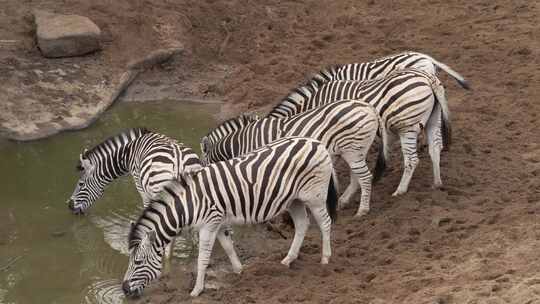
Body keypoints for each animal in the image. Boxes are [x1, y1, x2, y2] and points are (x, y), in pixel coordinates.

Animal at [122, 137, 338, 296]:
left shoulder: (208, 225)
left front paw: (196, 290)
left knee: (325, 222)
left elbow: (202, 258)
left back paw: (326, 258)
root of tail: (315, 142)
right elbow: (228, 247)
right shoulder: (218, 224)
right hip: (294, 200)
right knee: (302, 224)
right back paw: (288, 260)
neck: (190, 203)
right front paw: (239, 271)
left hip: (314, 195)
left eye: (138, 263)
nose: (124, 290)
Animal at [200, 99, 386, 216]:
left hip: (353, 149)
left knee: (365, 177)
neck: (241, 141)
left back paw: (362, 210)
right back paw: (344, 202)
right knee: (357, 177)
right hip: (355, 151)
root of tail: (368, 106)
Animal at [268, 68, 452, 196]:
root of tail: (427, 78)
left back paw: (400, 190)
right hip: (432, 119)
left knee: (412, 160)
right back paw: (437, 183)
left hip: (407, 126)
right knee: (435, 148)